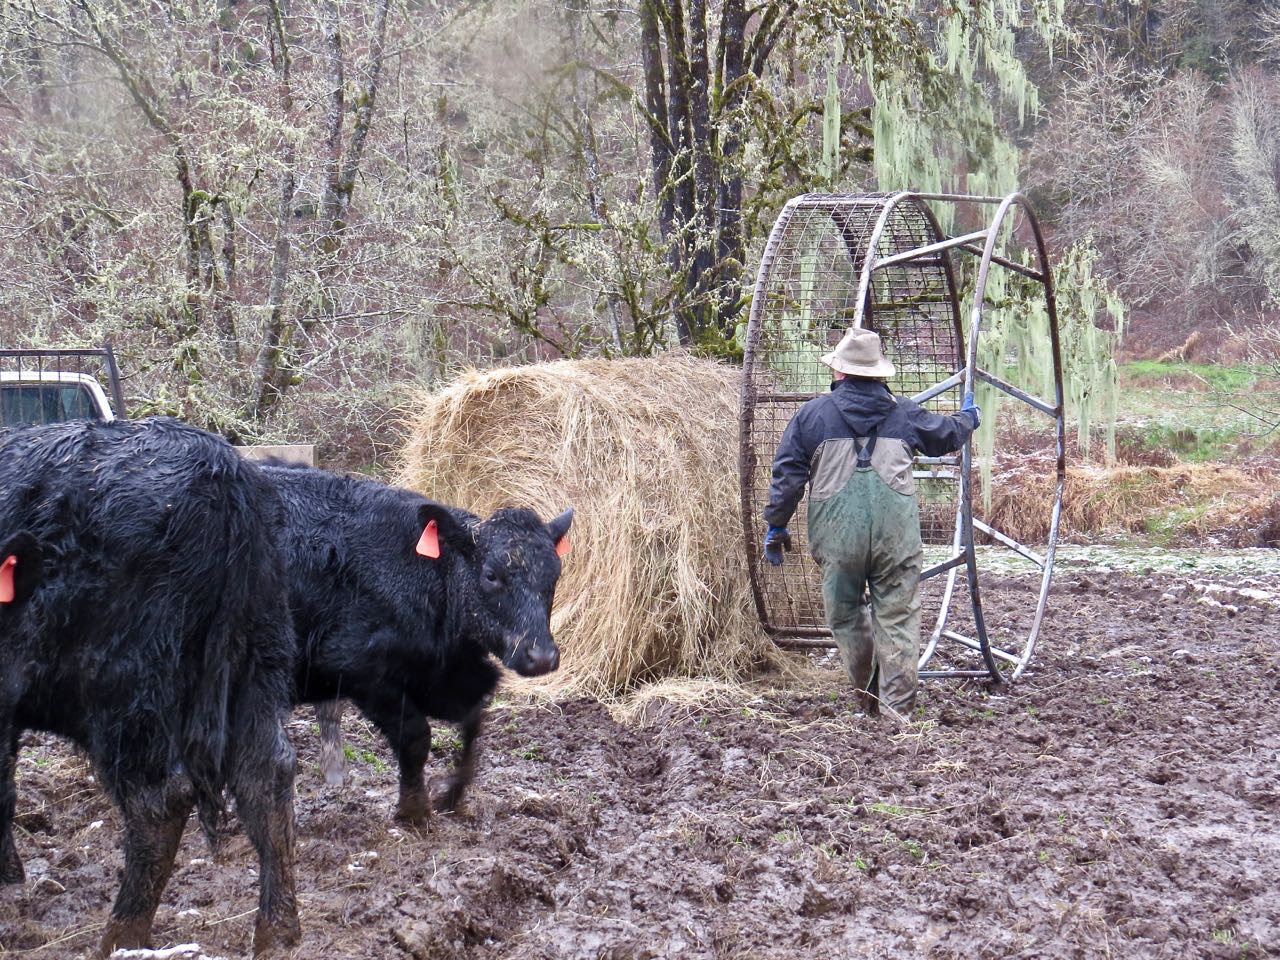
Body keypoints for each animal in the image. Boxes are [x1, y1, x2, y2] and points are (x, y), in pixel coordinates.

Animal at [0, 418, 300, 957]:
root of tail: (222, 468)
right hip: (258, 664)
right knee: (267, 774)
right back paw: (277, 931)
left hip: (128, 690)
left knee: (160, 801)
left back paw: (120, 936)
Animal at [260, 463, 571, 824]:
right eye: (491, 575)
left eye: (555, 574)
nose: (542, 656)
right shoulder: (358, 670)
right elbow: (415, 737)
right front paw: (414, 808)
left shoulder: (453, 677)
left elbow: (474, 723)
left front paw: (452, 794)